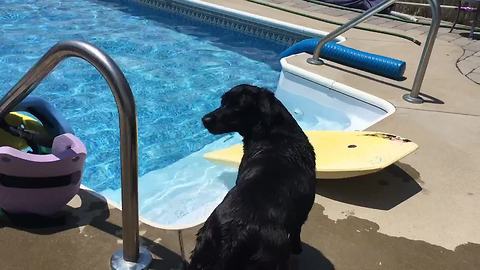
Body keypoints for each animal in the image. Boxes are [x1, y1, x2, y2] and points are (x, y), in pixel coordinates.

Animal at [189, 84, 316, 270]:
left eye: (237, 106)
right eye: (223, 101)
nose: (205, 119)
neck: (272, 134)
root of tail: (232, 238)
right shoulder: (300, 216)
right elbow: (296, 234)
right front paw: (298, 249)